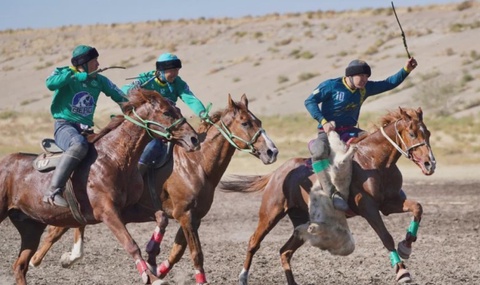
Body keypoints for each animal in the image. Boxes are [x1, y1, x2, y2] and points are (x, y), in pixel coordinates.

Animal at [0, 87, 200, 284]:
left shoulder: (127, 210)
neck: (114, 158)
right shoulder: (107, 212)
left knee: (20, 266)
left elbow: (161, 217)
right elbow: (131, 244)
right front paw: (151, 276)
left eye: (178, 109)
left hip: (31, 227)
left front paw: (152, 260)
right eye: (166, 112)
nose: (194, 139)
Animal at [28, 93, 280, 284]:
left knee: (61, 227)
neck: (196, 163)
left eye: (259, 122)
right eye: (246, 123)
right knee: (60, 228)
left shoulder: (193, 217)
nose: (272, 151)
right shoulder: (185, 215)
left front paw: (156, 269)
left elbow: (177, 252)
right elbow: (196, 254)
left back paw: (50, 258)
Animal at [219, 106, 436, 284]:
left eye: (428, 133)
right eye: (412, 133)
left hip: (302, 222)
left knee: (285, 251)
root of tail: (278, 173)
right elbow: (386, 236)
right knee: (254, 242)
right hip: (270, 213)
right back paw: (243, 277)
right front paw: (402, 272)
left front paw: (406, 245)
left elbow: (418, 208)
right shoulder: (368, 207)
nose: (430, 164)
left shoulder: (390, 203)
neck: (374, 161)